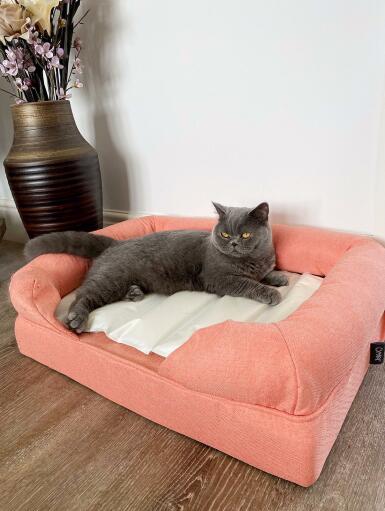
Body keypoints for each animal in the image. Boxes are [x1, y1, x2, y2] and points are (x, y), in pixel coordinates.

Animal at [24, 202, 286, 334]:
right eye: (224, 234)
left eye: (245, 234)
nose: (232, 243)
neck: (252, 257)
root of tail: (117, 242)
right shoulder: (219, 278)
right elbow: (248, 283)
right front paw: (271, 293)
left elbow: (264, 273)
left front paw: (278, 277)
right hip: (110, 278)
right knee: (83, 295)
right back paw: (76, 320)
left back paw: (134, 293)